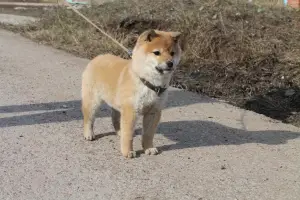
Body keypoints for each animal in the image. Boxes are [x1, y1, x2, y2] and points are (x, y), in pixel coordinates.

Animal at [81, 29, 182, 158]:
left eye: (172, 53)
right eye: (157, 52)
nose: (170, 63)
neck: (148, 83)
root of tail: (97, 58)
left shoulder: (154, 112)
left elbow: (148, 134)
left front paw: (149, 148)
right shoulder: (131, 110)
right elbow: (128, 134)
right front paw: (127, 151)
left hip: (118, 104)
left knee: (115, 118)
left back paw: (119, 131)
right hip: (93, 101)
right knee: (89, 118)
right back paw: (88, 134)